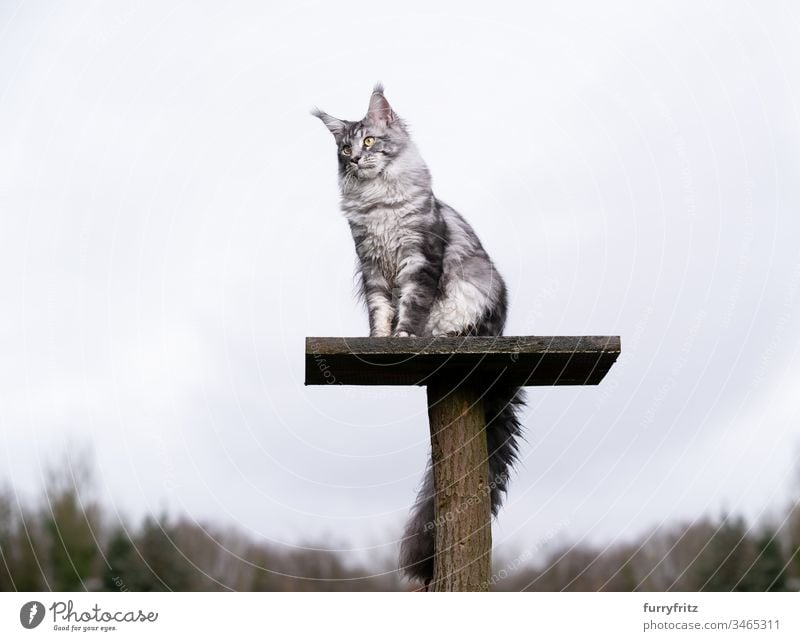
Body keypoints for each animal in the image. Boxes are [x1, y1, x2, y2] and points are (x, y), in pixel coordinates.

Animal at [312, 85, 524, 584]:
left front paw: (406, 337)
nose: (355, 158)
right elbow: (380, 313)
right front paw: (380, 340)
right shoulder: (371, 266)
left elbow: (410, 307)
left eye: (370, 141)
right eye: (343, 149)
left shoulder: (418, 260)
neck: (378, 203)